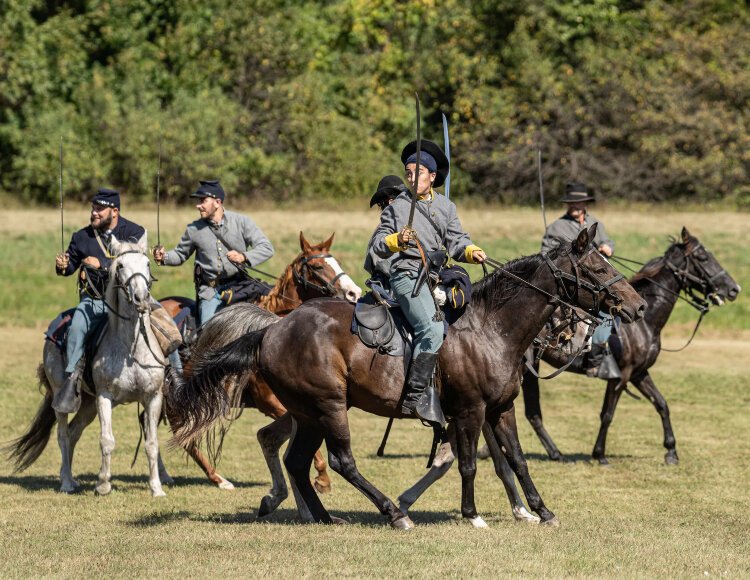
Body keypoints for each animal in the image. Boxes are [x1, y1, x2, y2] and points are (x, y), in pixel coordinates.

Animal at [161, 231, 362, 490]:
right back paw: (218, 479)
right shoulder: (272, 404)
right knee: (184, 439)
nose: (354, 293)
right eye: (317, 266)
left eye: (335, 261)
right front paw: (322, 477)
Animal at [524, 227, 744, 462]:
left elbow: (662, 404)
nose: (734, 289)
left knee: (532, 413)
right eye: (703, 257)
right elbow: (607, 414)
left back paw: (555, 453)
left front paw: (671, 451)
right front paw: (599, 454)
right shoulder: (621, 375)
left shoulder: (639, 373)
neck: (644, 325)